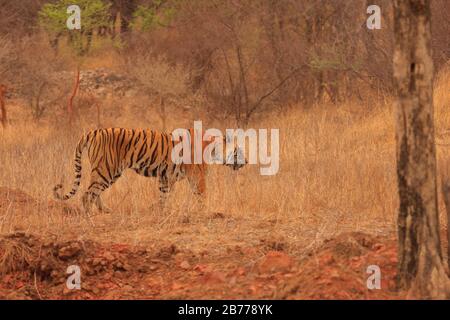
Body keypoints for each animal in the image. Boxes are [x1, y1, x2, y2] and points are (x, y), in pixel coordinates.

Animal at [55, 127, 248, 215]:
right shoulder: (197, 177)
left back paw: (106, 211)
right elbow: (202, 195)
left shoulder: (166, 178)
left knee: (94, 193)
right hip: (106, 170)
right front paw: (206, 212)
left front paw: (160, 212)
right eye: (239, 150)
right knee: (87, 194)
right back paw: (89, 216)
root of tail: (94, 131)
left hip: (110, 173)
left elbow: (163, 197)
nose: (246, 161)